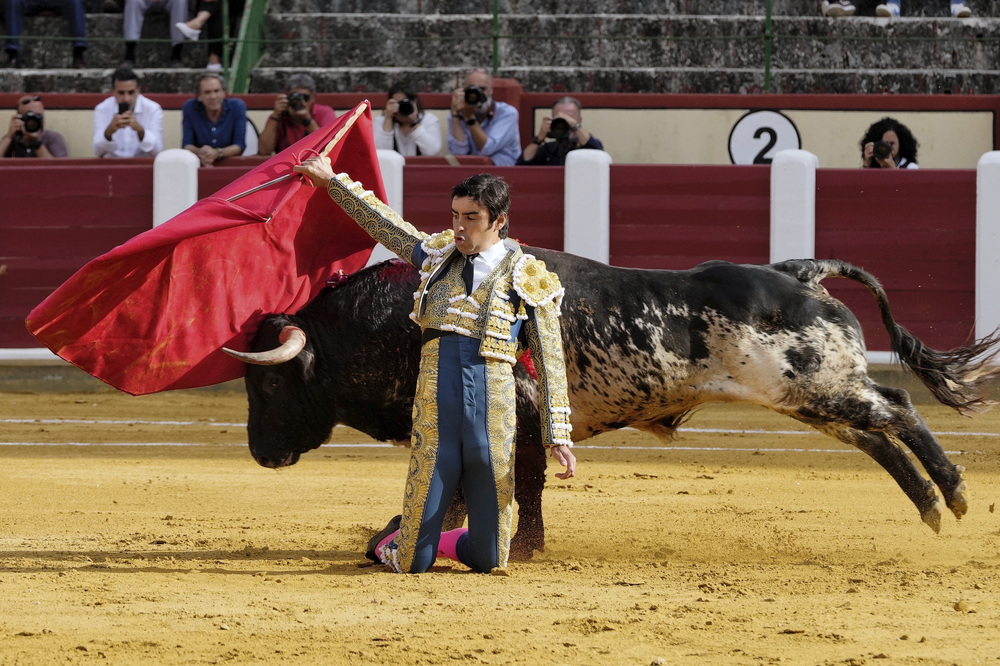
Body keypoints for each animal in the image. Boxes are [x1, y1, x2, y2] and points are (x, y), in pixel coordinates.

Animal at [227, 246, 1000, 552]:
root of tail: (797, 272)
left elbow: (511, 480)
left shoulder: (521, 410)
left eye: (268, 381)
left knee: (895, 409)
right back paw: (933, 508)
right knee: (875, 432)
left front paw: (515, 546)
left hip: (813, 383)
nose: (260, 455)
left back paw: (955, 492)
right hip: (811, 397)